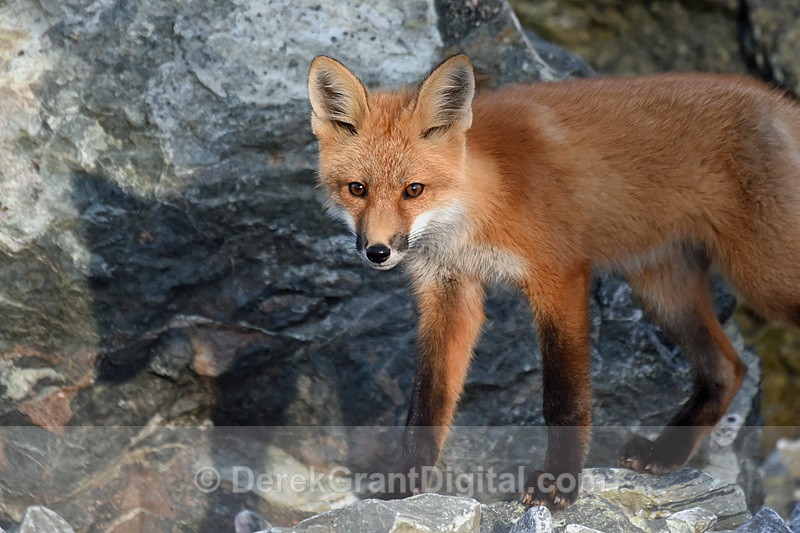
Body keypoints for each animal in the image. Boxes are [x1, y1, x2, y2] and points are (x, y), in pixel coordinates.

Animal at [307, 53, 800, 510]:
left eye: (413, 190)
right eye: (357, 189)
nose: (377, 252)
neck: (482, 206)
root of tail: (781, 101)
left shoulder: (559, 278)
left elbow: (563, 400)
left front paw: (557, 484)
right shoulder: (449, 293)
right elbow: (427, 404)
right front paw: (404, 486)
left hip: (764, 280)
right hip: (661, 289)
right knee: (727, 369)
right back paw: (667, 452)